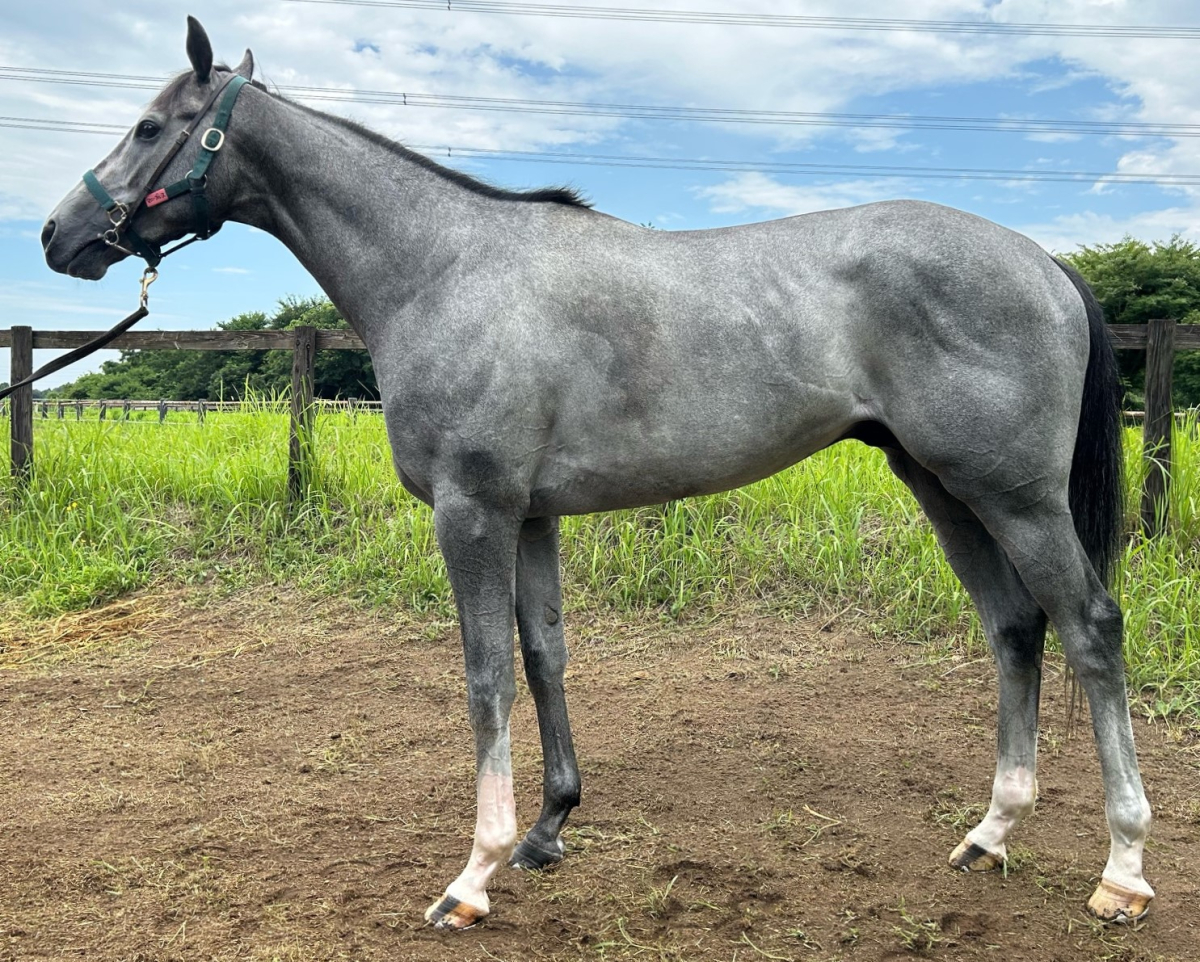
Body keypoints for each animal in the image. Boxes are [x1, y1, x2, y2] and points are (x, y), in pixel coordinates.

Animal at [40, 17, 1153, 930]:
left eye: (148, 126)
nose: (58, 236)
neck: (443, 270)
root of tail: (1045, 262)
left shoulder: (473, 509)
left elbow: (485, 674)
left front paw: (474, 874)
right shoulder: (530, 515)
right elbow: (545, 655)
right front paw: (547, 829)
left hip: (1014, 494)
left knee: (1091, 627)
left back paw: (1124, 869)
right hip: (943, 485)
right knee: (1015, 627)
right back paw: (990, 833)